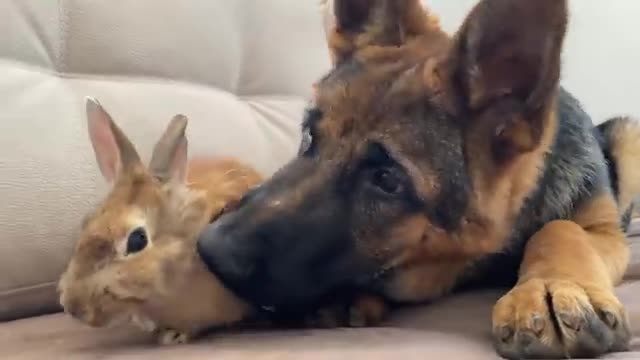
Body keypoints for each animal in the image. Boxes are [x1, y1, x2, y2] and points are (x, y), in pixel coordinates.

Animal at [198, 1, 636, 358]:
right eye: (309, 136)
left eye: (387, 180)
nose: (209, 250)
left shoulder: (603, 231)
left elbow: (563, 227)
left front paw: (553, 286)